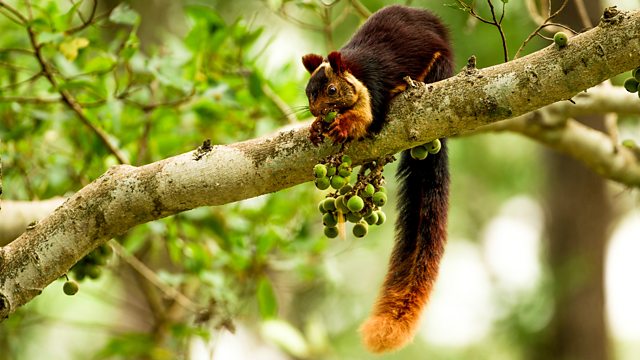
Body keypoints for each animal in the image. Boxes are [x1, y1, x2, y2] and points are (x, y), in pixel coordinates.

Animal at [302, 4, 452, 354]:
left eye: (332, 90)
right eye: (308, 93)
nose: (317, 112)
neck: (354, 71)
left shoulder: (375, 87)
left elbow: (368, 119)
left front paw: (342, 125)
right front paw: (316, 128)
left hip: (440, 66)